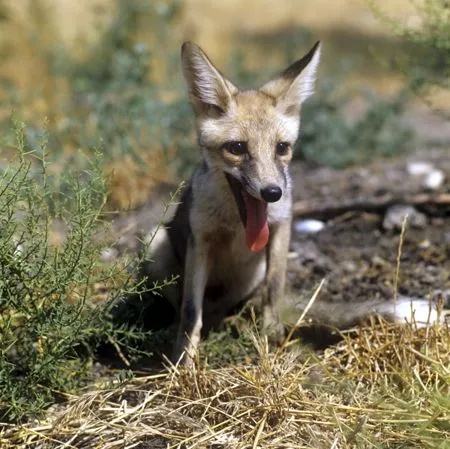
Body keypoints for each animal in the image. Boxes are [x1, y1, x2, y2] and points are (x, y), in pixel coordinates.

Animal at [142, 41, 448, 364]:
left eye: (282, 148)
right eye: (236, 148)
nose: (272, 192)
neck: (237, 224)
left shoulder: (281, 226)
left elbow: (274, 290)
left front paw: (272, 338)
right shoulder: (200, 240)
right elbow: (190, 313)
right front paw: (183, 363)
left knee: (249, 306)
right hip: (154, 244)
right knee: (188, 310)